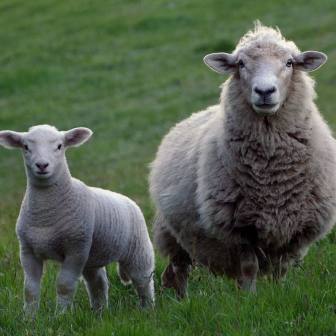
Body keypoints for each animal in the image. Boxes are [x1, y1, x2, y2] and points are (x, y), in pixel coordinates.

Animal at [0, 124, 156, 314]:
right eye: (25, 147)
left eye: (59, 146)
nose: (42, 165)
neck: (45, 213)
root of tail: (129, 200)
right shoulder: (27, 251)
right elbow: (29, 290)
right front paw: (29, 318)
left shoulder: (76, 249)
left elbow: (64, 285)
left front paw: (61, 316)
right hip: (92, 257)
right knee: (98, 283)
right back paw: (99, 312)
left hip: (138, 250)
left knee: (143, 280)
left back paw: (148, 309)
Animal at [150, 22, 336, 298]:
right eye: (240, 64)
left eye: (289, 63)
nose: (265, 91)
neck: (272, 173)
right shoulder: (238, 229)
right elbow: (249, 268)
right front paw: (249, 298)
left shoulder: (295, 229)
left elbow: (281, 269)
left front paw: (278, 294)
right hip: (172, 233)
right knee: (177, 270)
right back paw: (181, 300)